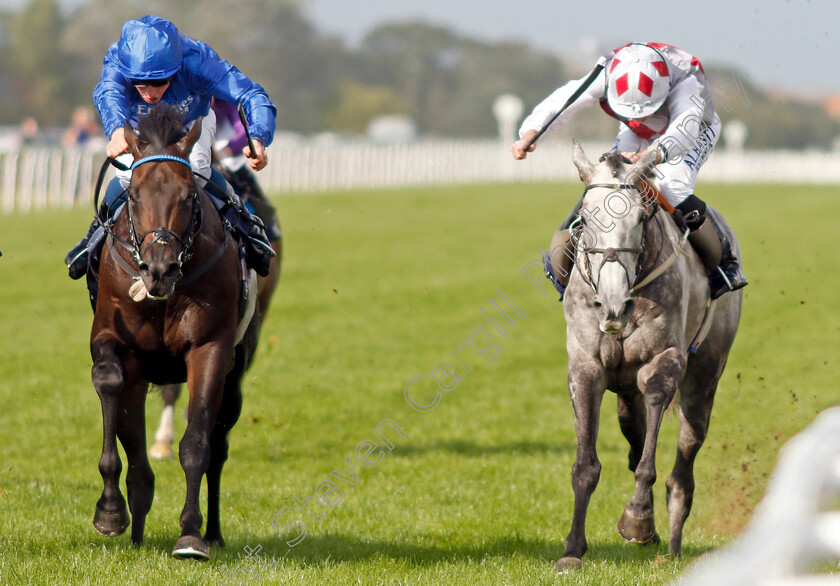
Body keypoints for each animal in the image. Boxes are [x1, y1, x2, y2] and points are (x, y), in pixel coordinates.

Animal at [87, 105, 260, 556]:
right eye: (133, 195)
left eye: (188, 196)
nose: (159, 269)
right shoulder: (113, 340)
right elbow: (109, 384)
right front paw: (109, 511)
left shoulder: (210, 347)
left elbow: (197, 444)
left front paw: (190, 533)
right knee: (135, 445)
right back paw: (136, 529)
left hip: (235, 377)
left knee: (219, 447)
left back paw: (212, 532)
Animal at [556, 139, 740, 568]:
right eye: (585, 220)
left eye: (641, 218)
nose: (612, 305)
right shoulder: (586, 366)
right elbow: (586, 465)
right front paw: (573, 550)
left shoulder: (665, 360)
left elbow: (650, 448)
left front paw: (638, 518)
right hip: (625, 393)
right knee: (633, 431)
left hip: (706, 375)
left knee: (684, 464)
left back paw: (670, 541)